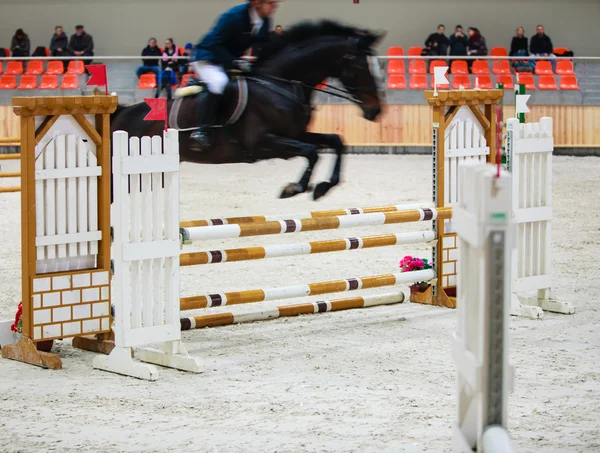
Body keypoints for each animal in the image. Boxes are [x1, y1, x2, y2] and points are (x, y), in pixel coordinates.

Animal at [109, 20, 384, 199]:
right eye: (361, 66)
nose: (376, 111)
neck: (280, 84)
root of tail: (122, 113)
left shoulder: (296, 134)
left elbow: (335, 141)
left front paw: (325, 186)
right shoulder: (263, 143)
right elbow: (312, 152)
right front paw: (294, 188)